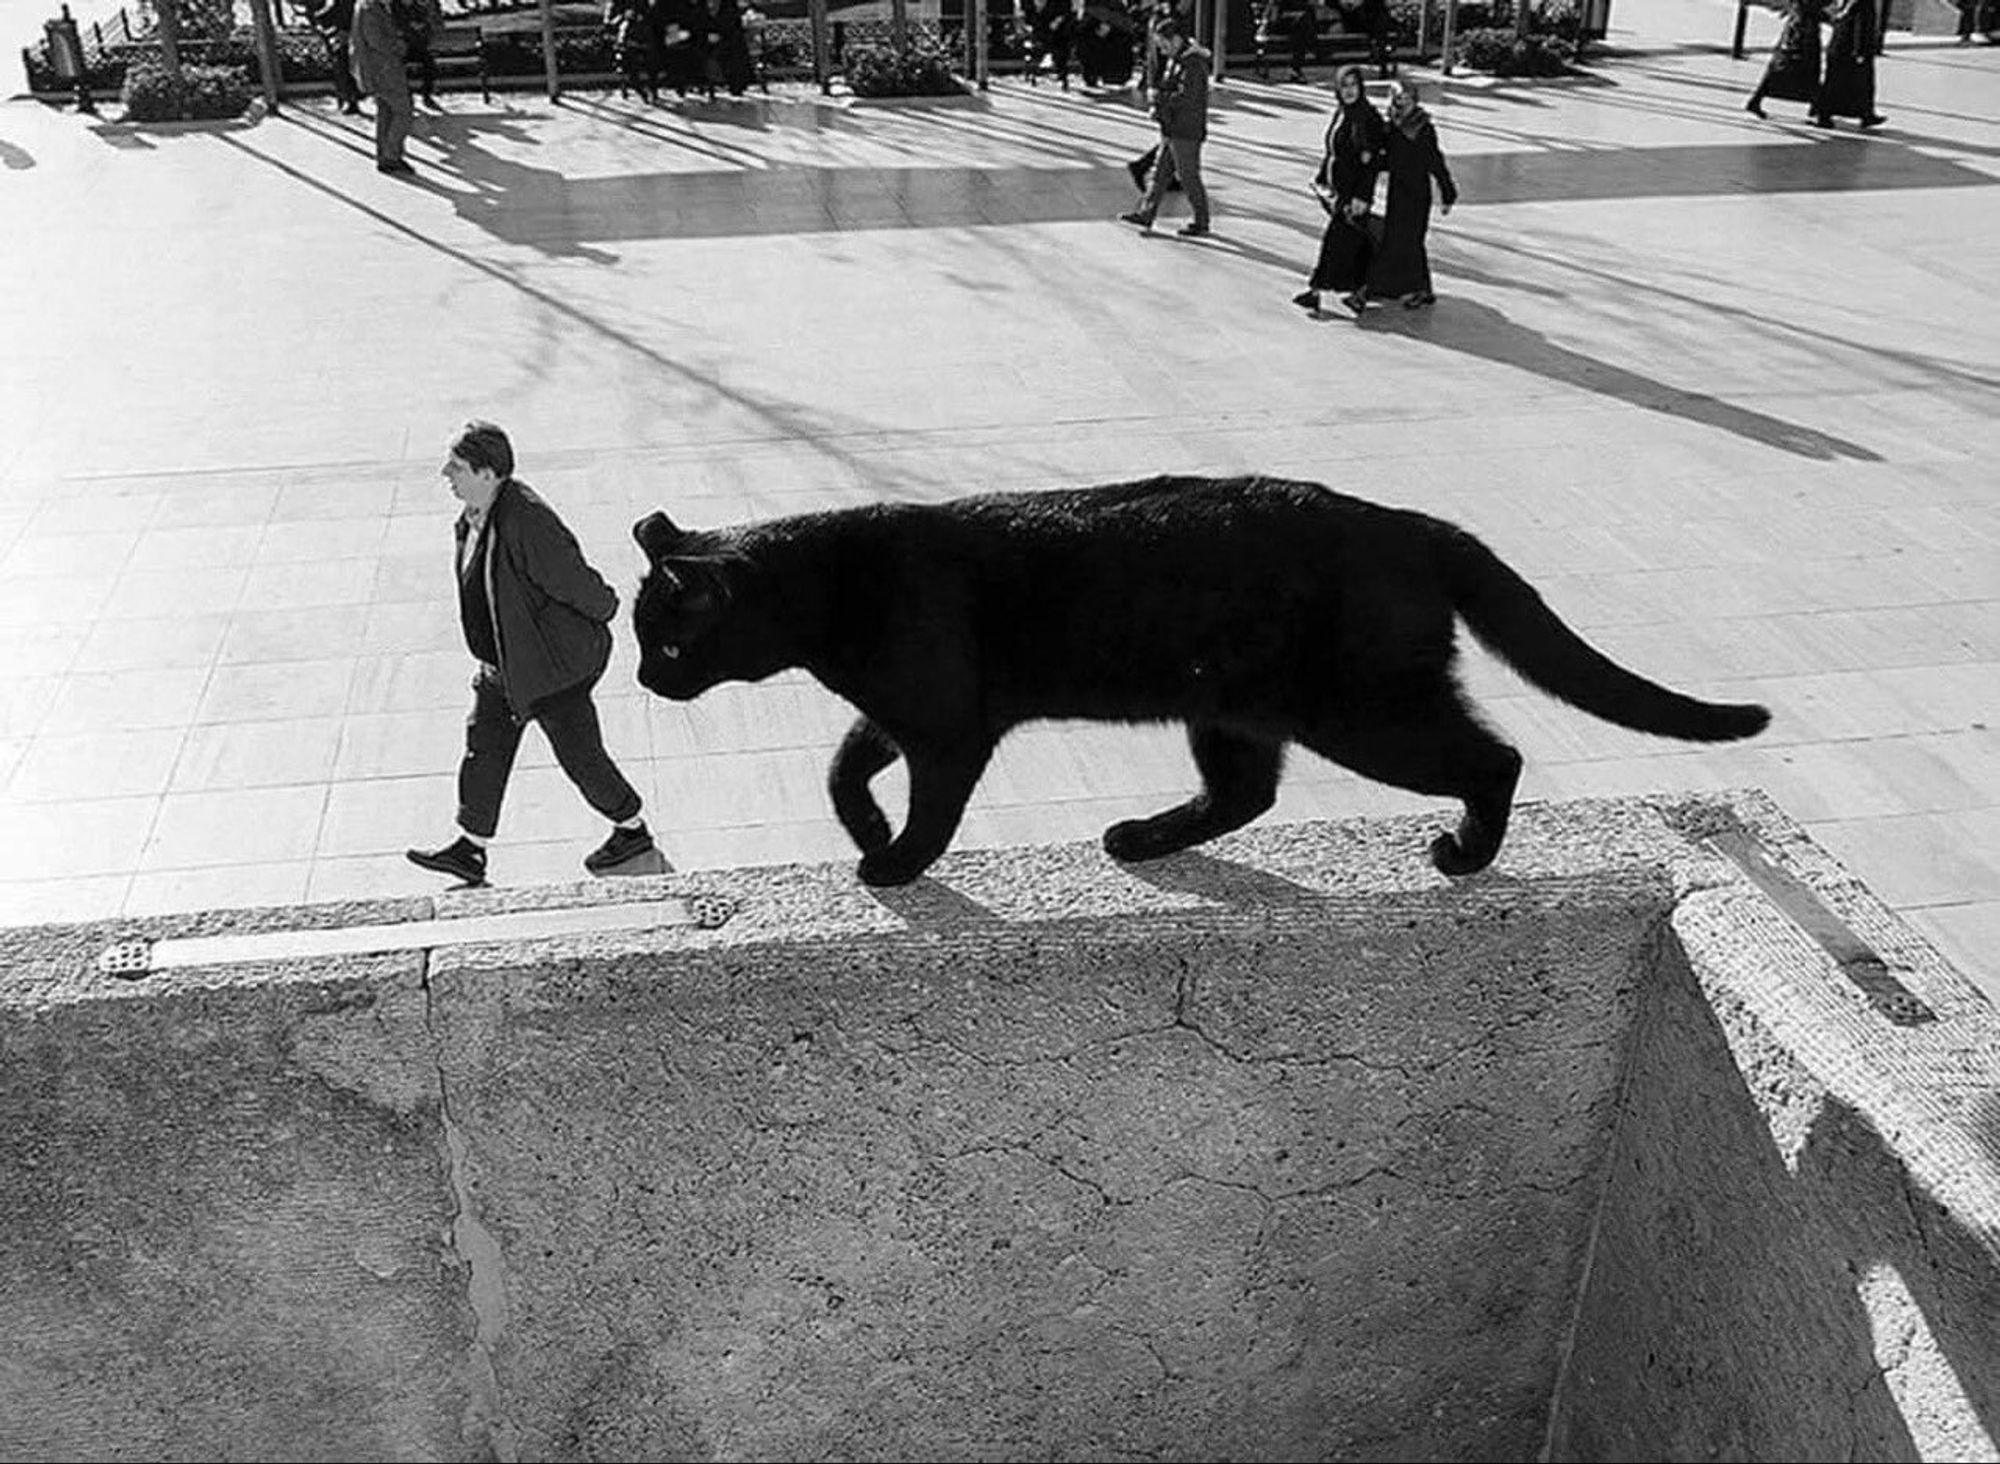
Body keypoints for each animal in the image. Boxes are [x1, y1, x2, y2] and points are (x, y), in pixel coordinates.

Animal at [632, 480, 1776, 888]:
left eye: (669, 646)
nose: (643, 676)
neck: (831, 590)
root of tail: (1416, 524)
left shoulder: (948, 726)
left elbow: (929, 807)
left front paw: (895, 862)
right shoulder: (894, 712)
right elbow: (839, 773)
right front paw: (866, 831)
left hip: (1363, 711)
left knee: (1495, 756)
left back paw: (1464, 853)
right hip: (1231, 710)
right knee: (1243, 795)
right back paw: (1140, 838)